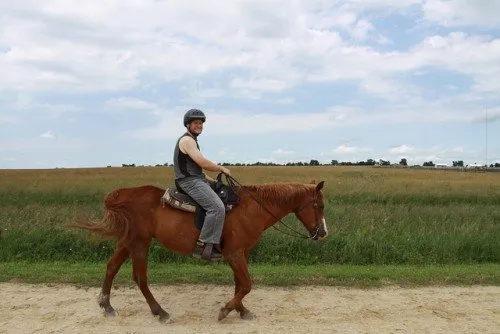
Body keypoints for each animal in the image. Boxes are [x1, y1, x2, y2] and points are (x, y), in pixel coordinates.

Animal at [71, 180, 328, 324]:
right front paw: (225, 311)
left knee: (111, 268)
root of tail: (123, 194)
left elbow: (240, 284)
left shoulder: (241, 253)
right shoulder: (235, 254)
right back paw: (160, 312)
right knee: (140, 278)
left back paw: (107, 306)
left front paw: (241, 311)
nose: (323, 233)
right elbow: (246, 284)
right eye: (320, 205)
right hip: (139, 244)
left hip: (127, 242)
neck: (252, 208)